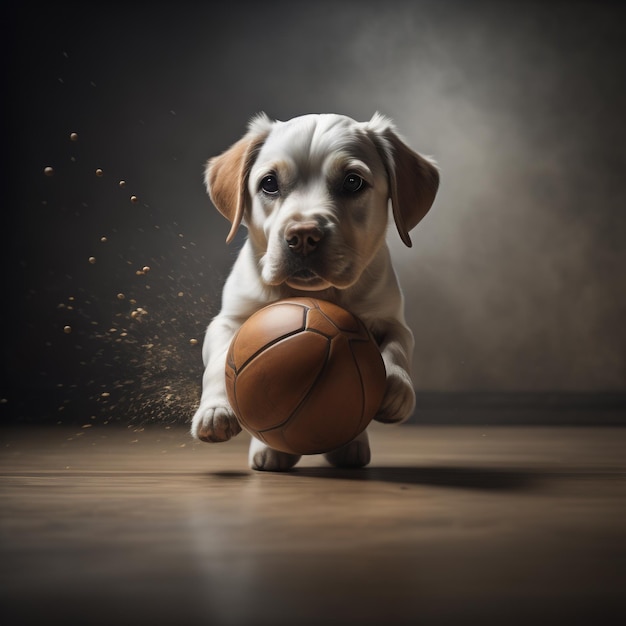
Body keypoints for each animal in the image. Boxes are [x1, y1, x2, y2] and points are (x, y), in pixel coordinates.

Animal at [188, 112, 436, 470]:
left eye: (352, 182)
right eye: (269, 184)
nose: (303, 236)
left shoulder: (391, 319)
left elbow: (397, 348)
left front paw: (398, 390)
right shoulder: (229, 319)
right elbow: (222, 360)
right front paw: (215, 410)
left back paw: (349, 446)